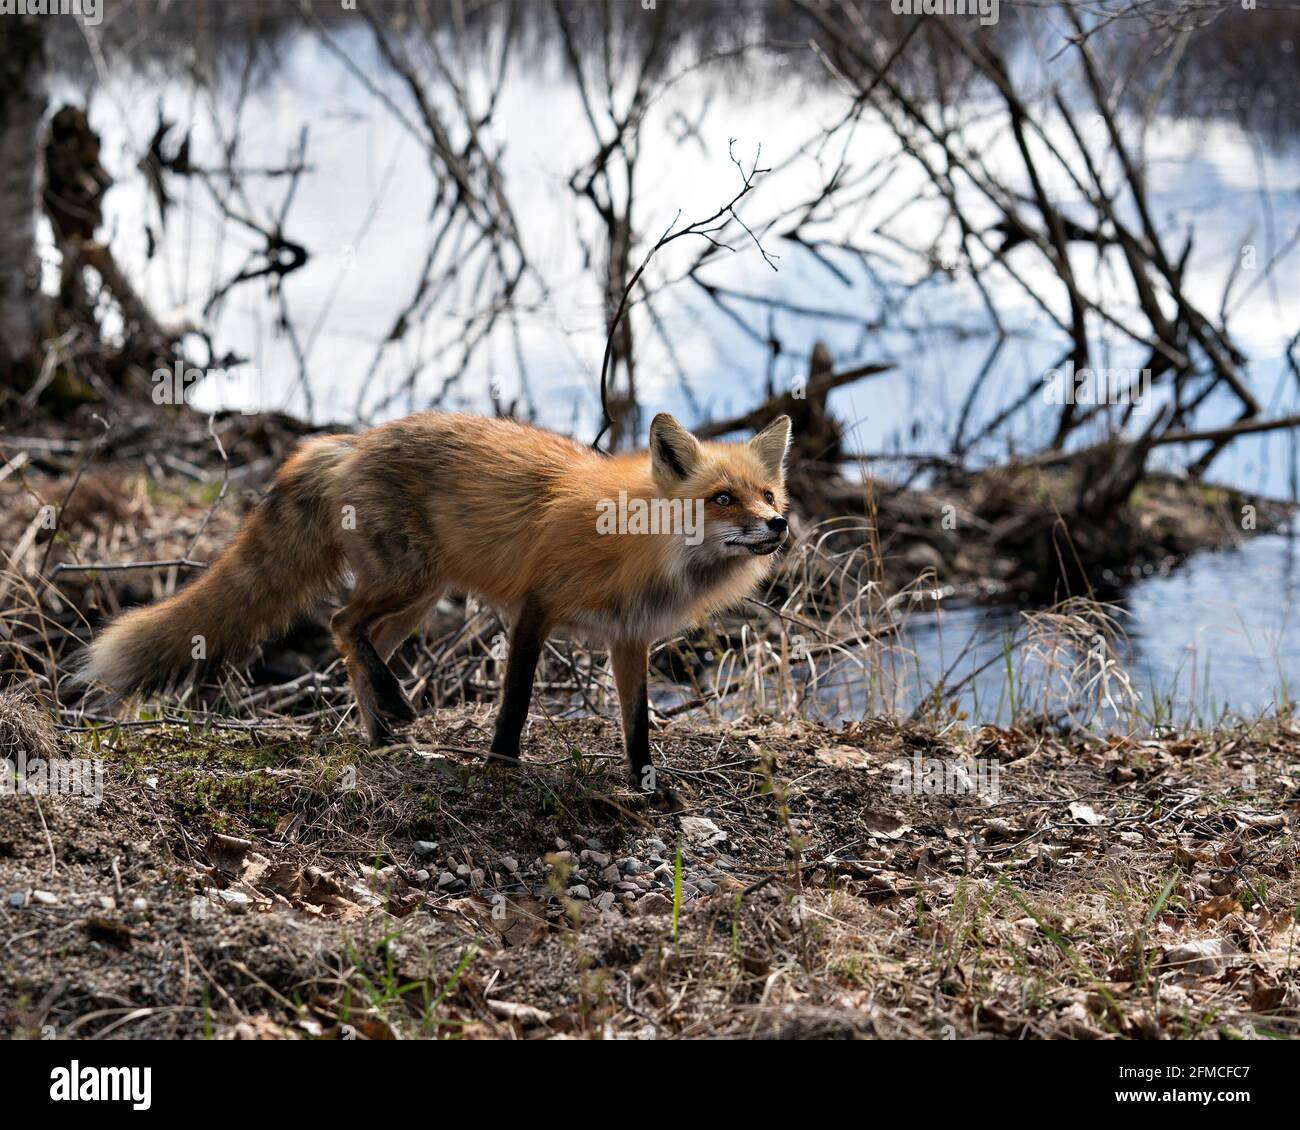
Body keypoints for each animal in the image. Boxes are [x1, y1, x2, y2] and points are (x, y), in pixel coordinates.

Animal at [83, 410, 790, 806]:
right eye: (722, 498)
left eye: (767, 493)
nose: (780, 525)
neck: (639, 544)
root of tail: (353, 441)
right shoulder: (536, 606)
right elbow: (516, 700)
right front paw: (502, 767)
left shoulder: (628, 637)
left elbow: (637, 724)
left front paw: (646, 786)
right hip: (409, 581)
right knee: (342, 623)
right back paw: (394, 713)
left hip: (417, 600)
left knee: (353, 640)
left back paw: (379, 736)